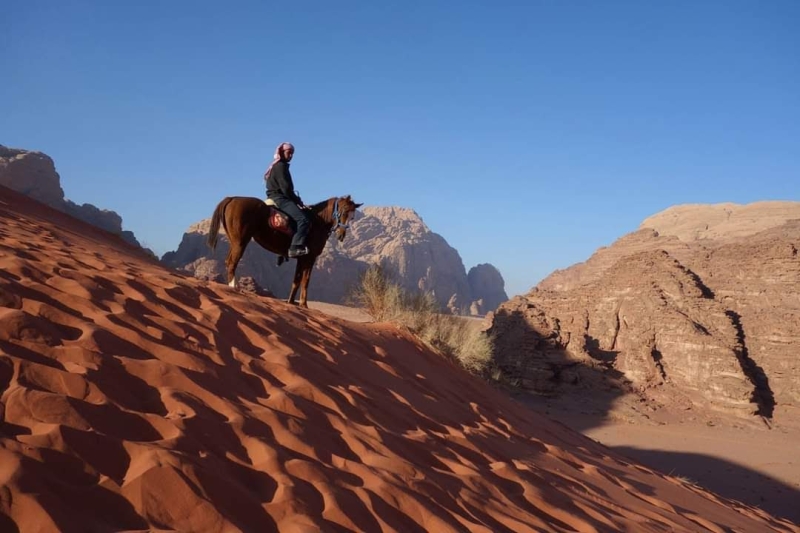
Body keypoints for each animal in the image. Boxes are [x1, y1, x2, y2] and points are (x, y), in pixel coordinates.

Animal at [206, 194, 362, 308]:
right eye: (343, 211)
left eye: (353, 216)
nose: (341, 235)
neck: (318, 222)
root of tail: (232, 198)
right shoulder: (310, 258)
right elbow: (305, 281)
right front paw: (304, 305)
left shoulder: (301, 258)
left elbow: (296, 281)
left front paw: (291, 303)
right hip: (240, 242)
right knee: (232, 262)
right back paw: (234, 286)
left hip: (234, 241)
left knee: (229, 261)